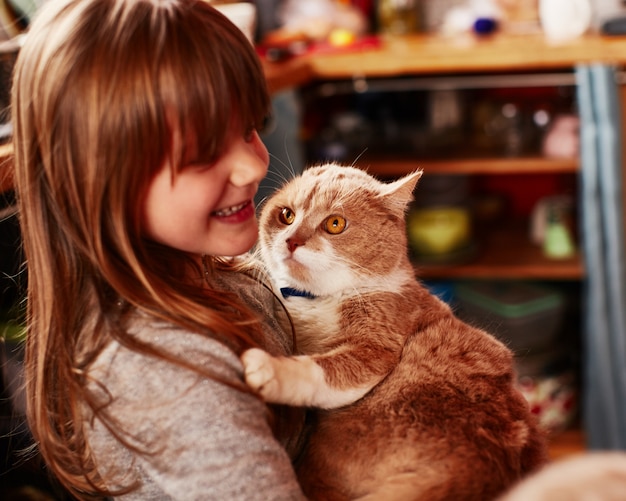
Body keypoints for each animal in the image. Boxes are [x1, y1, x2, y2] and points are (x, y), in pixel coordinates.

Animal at [241, 162, 544, 498]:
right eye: (287, 215)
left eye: (335, 223)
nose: (292, 240)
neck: (315, 300)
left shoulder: (375, 350)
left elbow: (319, 370)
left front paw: (269, 369)